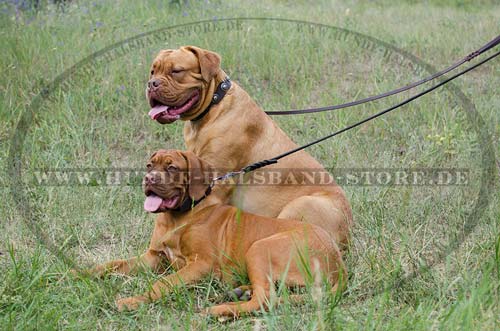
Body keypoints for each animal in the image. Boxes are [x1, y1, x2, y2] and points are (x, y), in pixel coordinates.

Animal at [90, 150, 346, 316]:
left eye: (172, 168)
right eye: (149, 166)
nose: (149, 179)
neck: (177, 217)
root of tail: (338, 264)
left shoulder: (201, 263)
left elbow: (164, 283)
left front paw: (134, 301)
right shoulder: (154, 257)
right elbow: (114, 264)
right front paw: (84, 273)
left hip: (259, 248)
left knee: (265, 300)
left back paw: (218, 310)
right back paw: (239, 292)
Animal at [146, 46, 354, 249]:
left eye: (176, 71)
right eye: (153, 71)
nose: (151, 84)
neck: (214, 105)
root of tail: (348, 228)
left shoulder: (217, 181)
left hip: (299, 207)